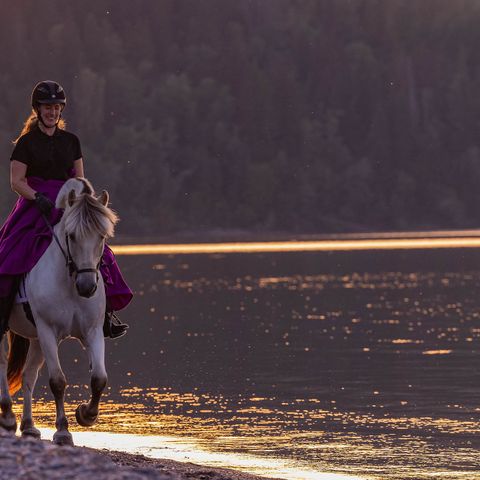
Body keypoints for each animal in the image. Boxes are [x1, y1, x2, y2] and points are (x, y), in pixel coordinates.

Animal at [0, 179, 118, 446]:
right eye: (71, 236)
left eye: (102, 236)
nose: (87, 287)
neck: (69, 282)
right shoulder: (48, 331)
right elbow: (57, 381)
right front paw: (63, 431)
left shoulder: (93, 331)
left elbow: (99, 378)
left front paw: (86, 414)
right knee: (1, 366)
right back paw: (8, 417)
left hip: (35, 338)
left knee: (28, 375)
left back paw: (29, 426)